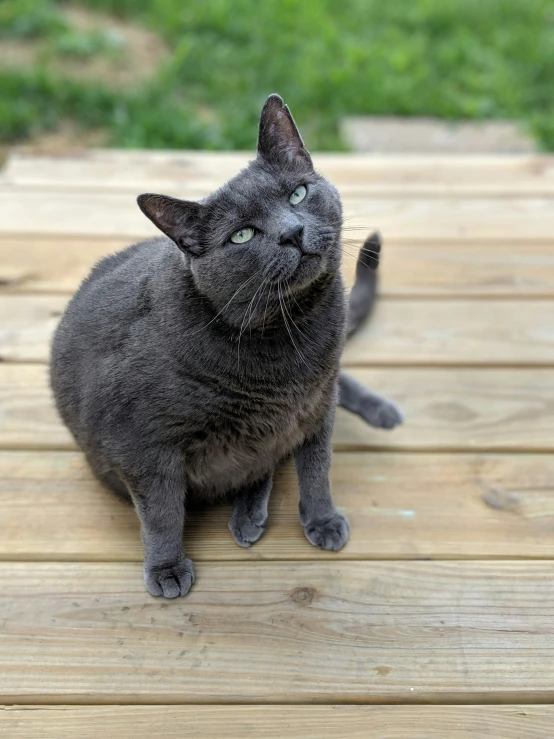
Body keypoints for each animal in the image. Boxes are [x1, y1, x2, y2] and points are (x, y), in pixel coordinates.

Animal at [49, 95, 398, 600]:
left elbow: (317, 469)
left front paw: (322, 519)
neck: (291, 333)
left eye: (297, 194)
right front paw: (167, 568)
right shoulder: (140, 442)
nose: (291, 232)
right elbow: (161, 510)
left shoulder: (316, 406)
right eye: (242, 235)